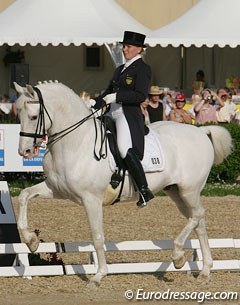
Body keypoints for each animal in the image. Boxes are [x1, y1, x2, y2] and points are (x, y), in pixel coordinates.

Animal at [13, 81, 232, 284]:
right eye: (19, 116)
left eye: (33, 117)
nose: (25, 152)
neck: (76, 142)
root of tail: (201, 131)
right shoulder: (56, 189)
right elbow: (24, 196)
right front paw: (31, 240)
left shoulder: (91, 199)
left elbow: (97, 236)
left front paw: (99, 276)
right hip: (176, 191)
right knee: (199, 222)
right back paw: (204, 271)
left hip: (189, 189)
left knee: (197, 215)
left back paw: (178, 255)